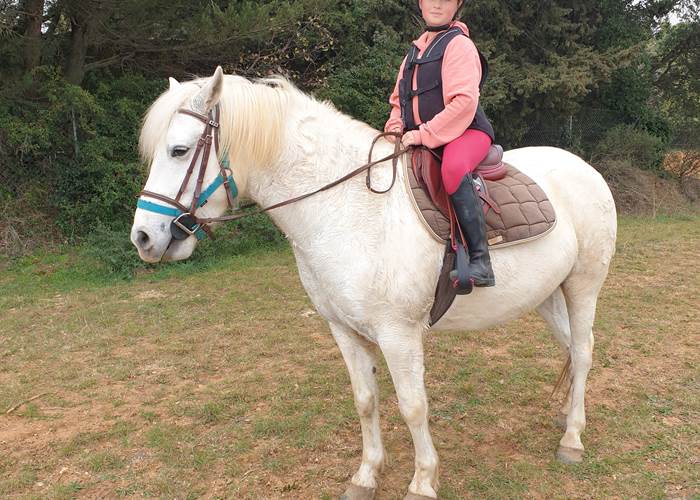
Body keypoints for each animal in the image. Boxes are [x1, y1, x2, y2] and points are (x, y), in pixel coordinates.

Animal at [131, 67, 617, 499]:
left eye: (179, 150)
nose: (143, 238)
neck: (346, 208)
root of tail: (583, 168)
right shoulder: (343, 330)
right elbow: (365, 400)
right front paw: (365, 476)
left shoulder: (398, 334)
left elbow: (413, 406)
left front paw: (423, 482)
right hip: (548, 294)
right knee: (570, 347)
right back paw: (566, 414)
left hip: (583, 286)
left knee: (584, 350)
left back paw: (572, 438)